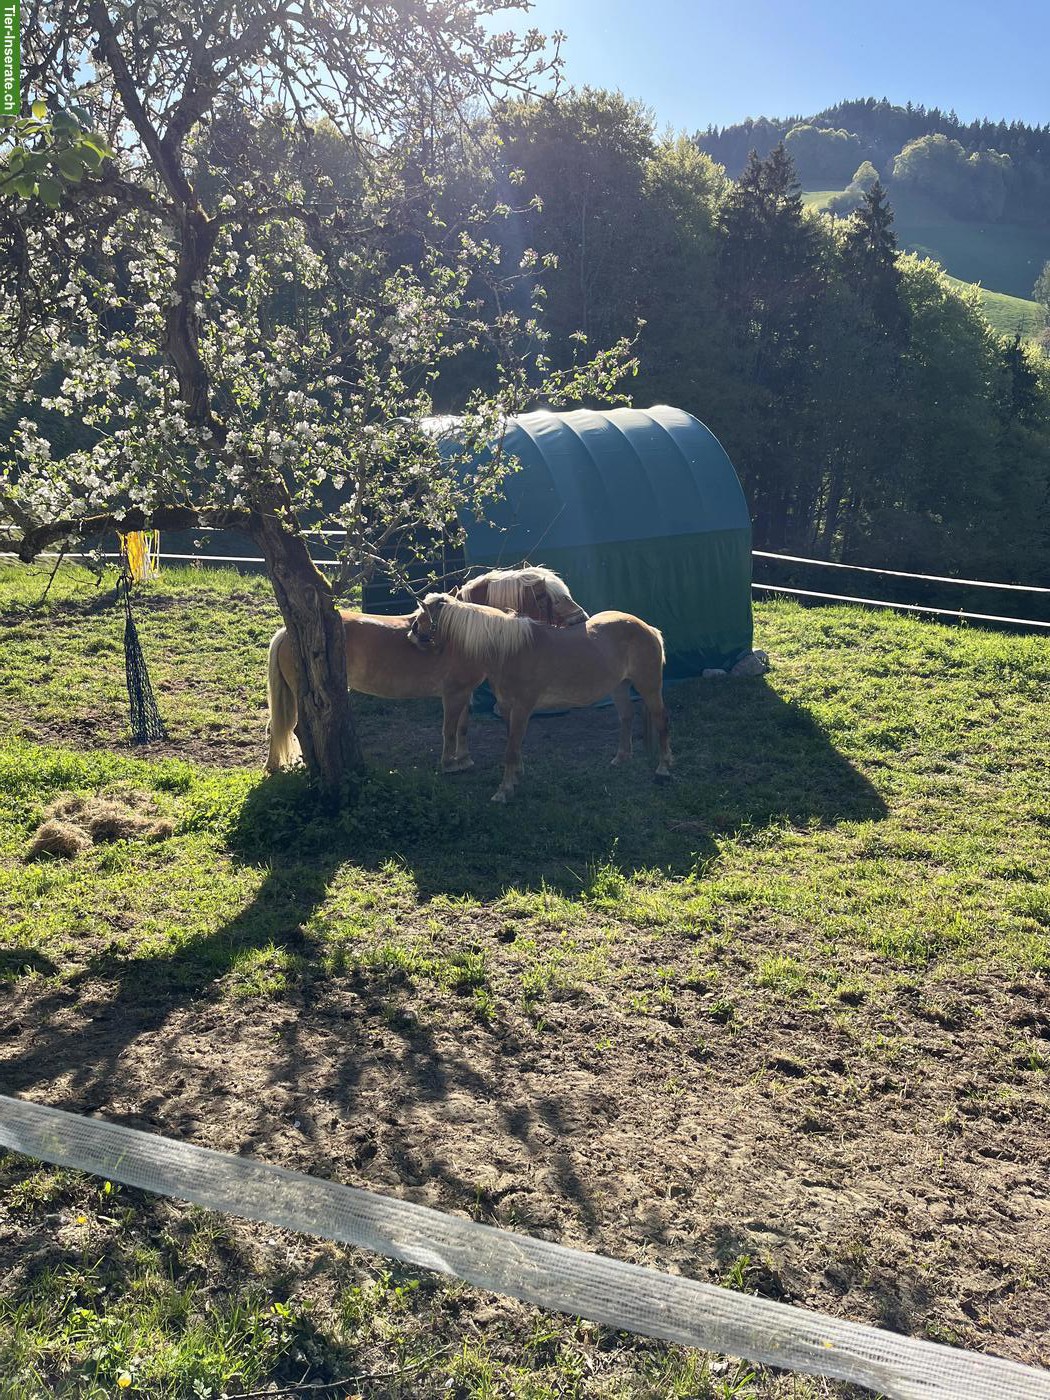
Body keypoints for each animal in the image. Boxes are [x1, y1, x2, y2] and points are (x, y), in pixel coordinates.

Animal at [265, 565, 585, 775]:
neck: (463, 631)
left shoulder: (464, 693)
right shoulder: (453, 693)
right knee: (297, 729)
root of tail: (288, 632)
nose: (580, 619)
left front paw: (464, 760)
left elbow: (462, 727)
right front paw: (449, 764)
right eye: (547, 597)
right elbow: (448, 730)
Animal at [407, 593, 672, 802]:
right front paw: (515, 778)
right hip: (619, 687)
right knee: (626, 716)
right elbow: (513, 743)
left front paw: (503, 791)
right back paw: (621, 758)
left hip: (649, 686)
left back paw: (663, 769)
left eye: (422, 616)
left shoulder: (522, 707)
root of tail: (648, 628)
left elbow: (511, 749)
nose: (412, 633)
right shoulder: (507, 707)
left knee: (661, 721)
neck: (509, 650)